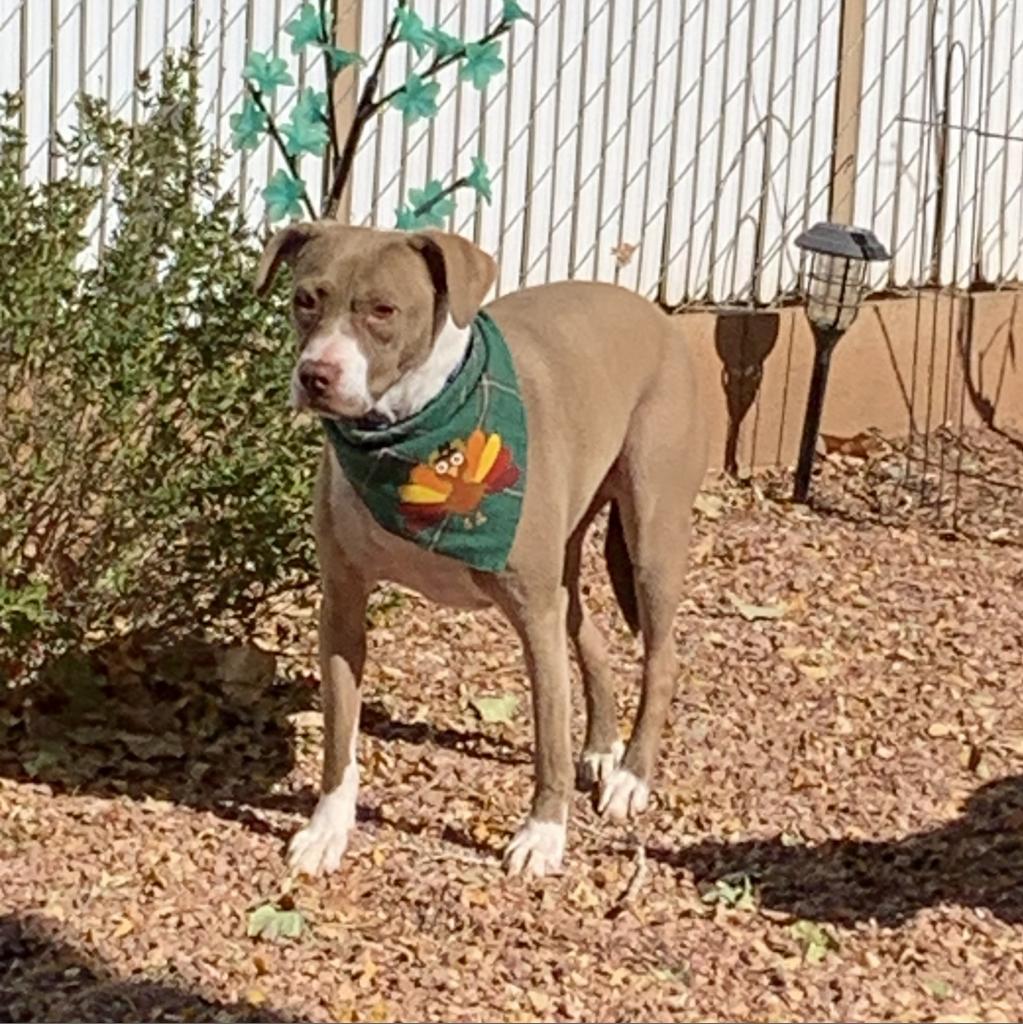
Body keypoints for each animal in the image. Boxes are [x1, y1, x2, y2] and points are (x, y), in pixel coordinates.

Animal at [258, 224, 704, 880]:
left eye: (383, 310)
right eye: (305, 299)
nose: (316, 374)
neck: (417, 435)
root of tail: (655, 313)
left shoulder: (533, 612)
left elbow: (549, 736)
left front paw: (543, 836)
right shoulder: (341, 602)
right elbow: (340, 733)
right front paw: (326, 831)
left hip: (651, 532)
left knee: (661, 657)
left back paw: (630, 777)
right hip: (567, 563)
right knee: (591, 637)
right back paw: (602, 746)